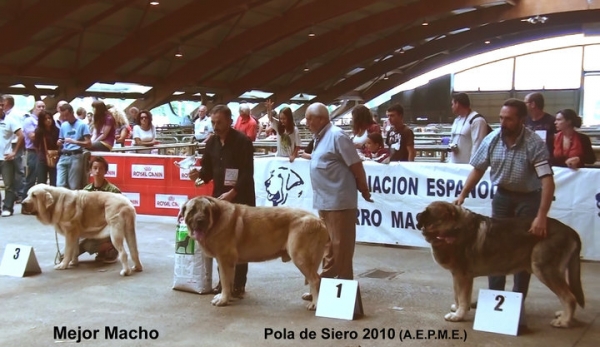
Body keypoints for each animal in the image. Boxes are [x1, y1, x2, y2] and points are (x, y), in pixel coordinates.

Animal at [179, 196, 328, 310]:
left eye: (206, 211)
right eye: (192, 211)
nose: (200, 221)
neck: (216, 220)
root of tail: (318, 220)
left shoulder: (225, 260)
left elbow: (226, 281)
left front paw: (223, 299)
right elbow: (229, 281)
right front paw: (226, 296)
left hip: (300, 256)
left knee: (314, 279)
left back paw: (315, 303)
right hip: (310, 258)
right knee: (314, 278)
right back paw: (311, 296)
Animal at [414, 201, 584, 328]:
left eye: (452, 217)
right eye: (443, 218)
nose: (458, 229)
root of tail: (571, 231)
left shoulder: (463, 275)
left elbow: (462, 297)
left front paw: (459, 315)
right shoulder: (456, 274)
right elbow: (458, 295)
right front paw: (458, 309)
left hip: (543, 268)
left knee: (569, 297)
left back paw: (564, 321)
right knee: (567, 295)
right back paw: (564, 315)